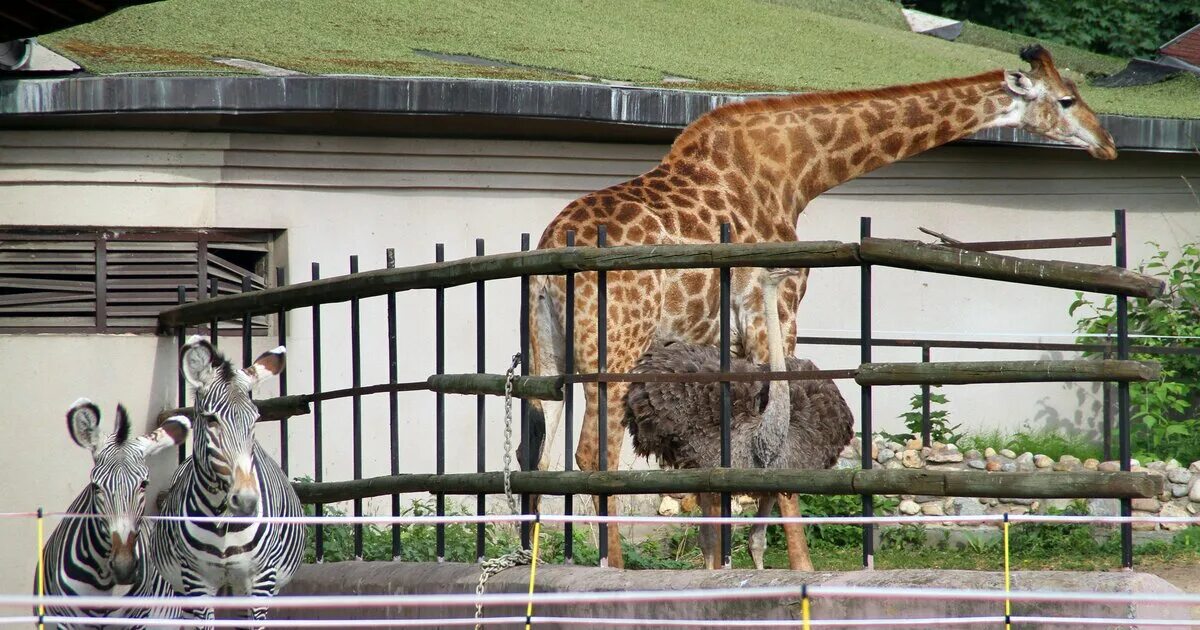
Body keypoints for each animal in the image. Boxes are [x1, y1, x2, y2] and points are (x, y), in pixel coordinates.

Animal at [37, 400, 188, 624]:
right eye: (95, 486)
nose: (124, 568)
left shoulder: (136, 618)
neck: (104, 582)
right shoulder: (67, 619)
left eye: (144, 484)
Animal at [150, 333, 307, 624]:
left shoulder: (261, 580)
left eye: (255, 419)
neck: (222, 518)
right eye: (211, 420)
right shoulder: (196, 580)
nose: (246, 501)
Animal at [525, 42, 1113, 564]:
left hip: (550, 350)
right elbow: (778, 434)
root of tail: (551, 252)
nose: (1107, 143)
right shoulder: (776, 314)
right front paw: (791, 564)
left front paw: (732, 560)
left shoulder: (723, 340)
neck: (797, 172)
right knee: (592, 451)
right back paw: (612, 566)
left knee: (539, 446)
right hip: (615, 346)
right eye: (1066, 100)